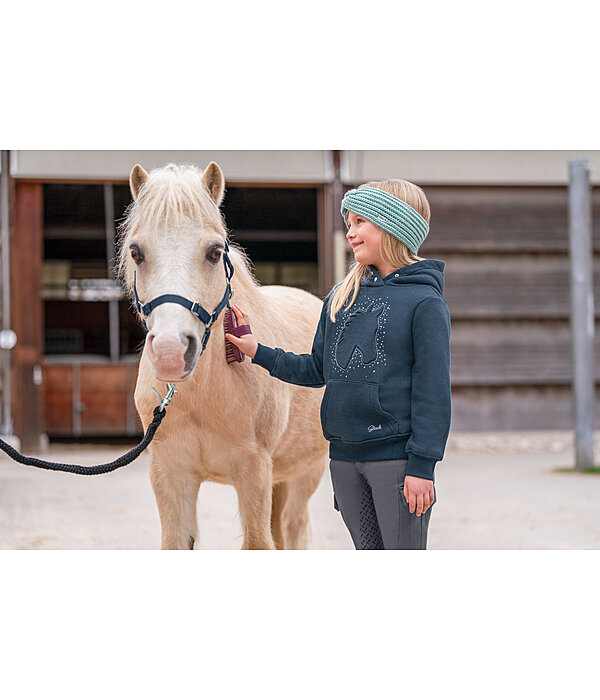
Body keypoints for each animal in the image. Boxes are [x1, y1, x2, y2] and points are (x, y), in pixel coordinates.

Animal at [116, 161, 328, 548]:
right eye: (137, 252)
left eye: (215, 252)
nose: (171, 351)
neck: (205, 394)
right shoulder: (170, 474)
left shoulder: (254, 474)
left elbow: (259, 541)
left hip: (307, 471)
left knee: (294, 526)